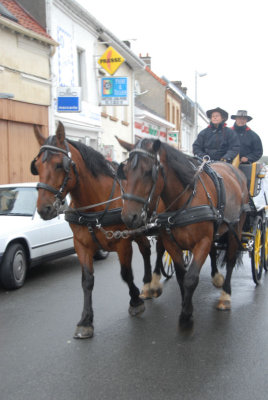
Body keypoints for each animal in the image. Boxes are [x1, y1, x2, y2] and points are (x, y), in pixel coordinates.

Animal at [31, 122, 163, 338]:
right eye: (37, 166)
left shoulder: (122, 243)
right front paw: (86, 320)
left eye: (60, 164)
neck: (95, 205)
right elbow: (87, 281)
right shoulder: (81, 245)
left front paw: (135, 301)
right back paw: (147, 284)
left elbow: (126, 274)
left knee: (158, 249)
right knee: (145, 250)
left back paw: (152, 284)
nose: (44, 209)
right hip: (138, 230)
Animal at [116, 138, 250, 328]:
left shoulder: (202, 241)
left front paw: (186, 315)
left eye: (149, 172)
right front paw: (184, 306)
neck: (185, 200)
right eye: (125, 172)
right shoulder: (171, 242)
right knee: (212, 251)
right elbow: (181, 276)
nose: (128, 216)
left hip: (235, 228)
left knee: (231, 259)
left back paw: (225, 296)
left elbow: (191, 278)